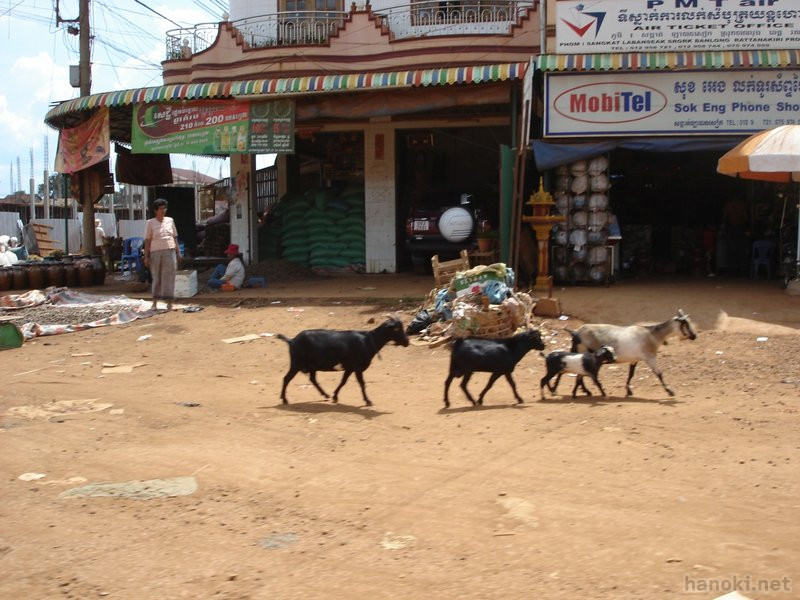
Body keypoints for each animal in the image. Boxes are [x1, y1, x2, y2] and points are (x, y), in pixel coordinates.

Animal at [278, 316, 410, 406]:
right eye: (396, 329)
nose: (407, 342)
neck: (367, 341)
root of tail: (292, 340)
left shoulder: (350, 368)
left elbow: (343, 382)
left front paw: (335, 396)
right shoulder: (357, 368)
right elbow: (362, 383)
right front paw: (368, 401)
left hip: (311, 366)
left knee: (312, 379)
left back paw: (325, 394)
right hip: (296, 363)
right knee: (286, 378)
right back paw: (284, 399)